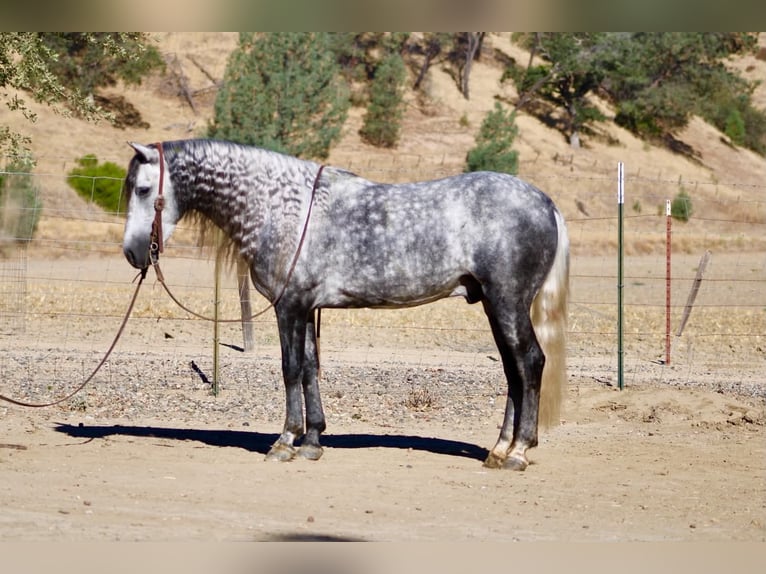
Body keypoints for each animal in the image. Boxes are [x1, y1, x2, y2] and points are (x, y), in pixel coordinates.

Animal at [122, 139, 569, 471]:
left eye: (143, 189)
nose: (132, 252)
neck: (281, 206)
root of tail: (546, 203)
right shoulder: (305, 308)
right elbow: (309, 369)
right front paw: (312, 441)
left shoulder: (290, 306)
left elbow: (290, 369)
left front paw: (284, 441)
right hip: (495, 306)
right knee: (513, 369)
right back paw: (499, 449)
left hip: (507, 302)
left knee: (529, 362)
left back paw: (518, 451)